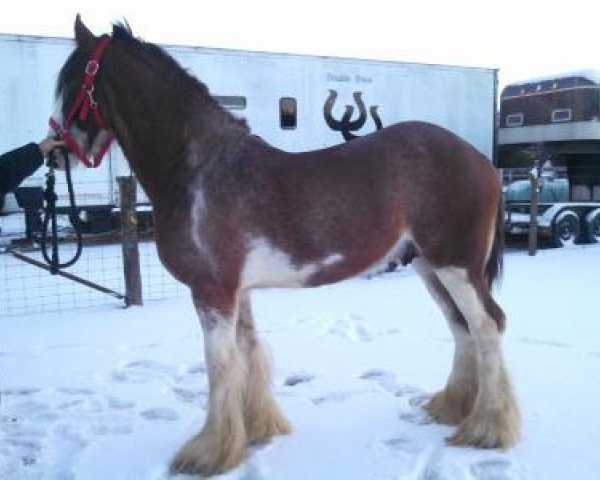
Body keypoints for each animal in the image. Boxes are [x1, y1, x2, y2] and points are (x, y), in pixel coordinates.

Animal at [52, 15, 520, 476]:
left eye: (72, 82)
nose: (55, 151)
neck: (200, 170)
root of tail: (482, 162)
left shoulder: (212, 292)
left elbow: (220, 366)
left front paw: (209, 454)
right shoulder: (236, 292)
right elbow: (248, 352)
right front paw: (256, 431)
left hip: (455, 265)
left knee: (487, 326)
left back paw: (487, 429)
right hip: (428, 266)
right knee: (462, 328)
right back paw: (454, 410)